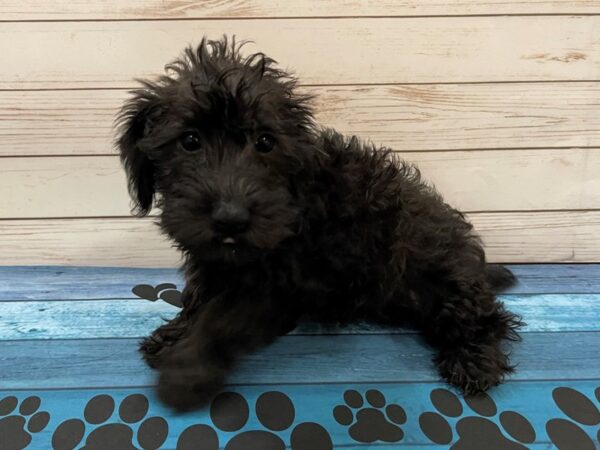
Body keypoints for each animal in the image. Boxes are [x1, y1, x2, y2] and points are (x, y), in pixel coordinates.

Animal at [116, 37, 520, 412]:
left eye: (265, 142)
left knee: (490, 317)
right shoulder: (214, 258)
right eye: (189, 141)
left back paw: (475, 360)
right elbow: (198, 296)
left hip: (441, 277)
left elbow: (220, 318)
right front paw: (174, 334)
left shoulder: (279, 284)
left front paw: (186, 373)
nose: (230, 217)